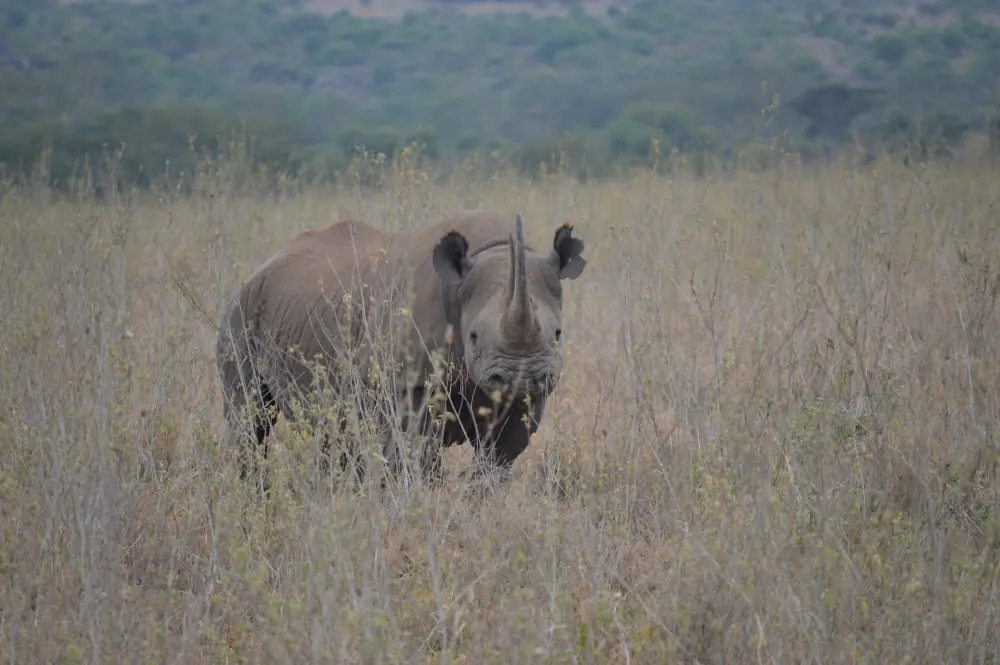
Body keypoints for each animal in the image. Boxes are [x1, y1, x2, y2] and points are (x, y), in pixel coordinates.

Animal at [215, 210, 587, 491]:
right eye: (473, 336)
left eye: (557, 334)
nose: (520, 378)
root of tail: (259, 271)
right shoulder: (407, 383)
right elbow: (417, 455)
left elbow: (496, 461)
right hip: (239, 316)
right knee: (251, 420)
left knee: (331, 431)